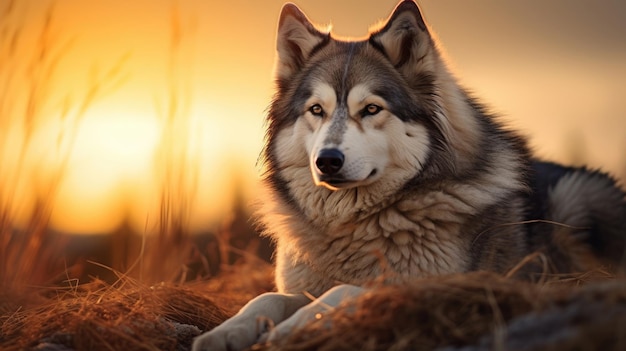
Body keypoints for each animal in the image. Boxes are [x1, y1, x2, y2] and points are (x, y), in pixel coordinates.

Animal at [193, 1, 620, 350]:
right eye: (316, 110)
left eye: (370, 109)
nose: (327, 161)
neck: (354, 226)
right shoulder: (298, 287)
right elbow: (266, 298)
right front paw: (226, 332)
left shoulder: (432, 284)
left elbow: (347, 290)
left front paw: (292, 328)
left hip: (577, 195)